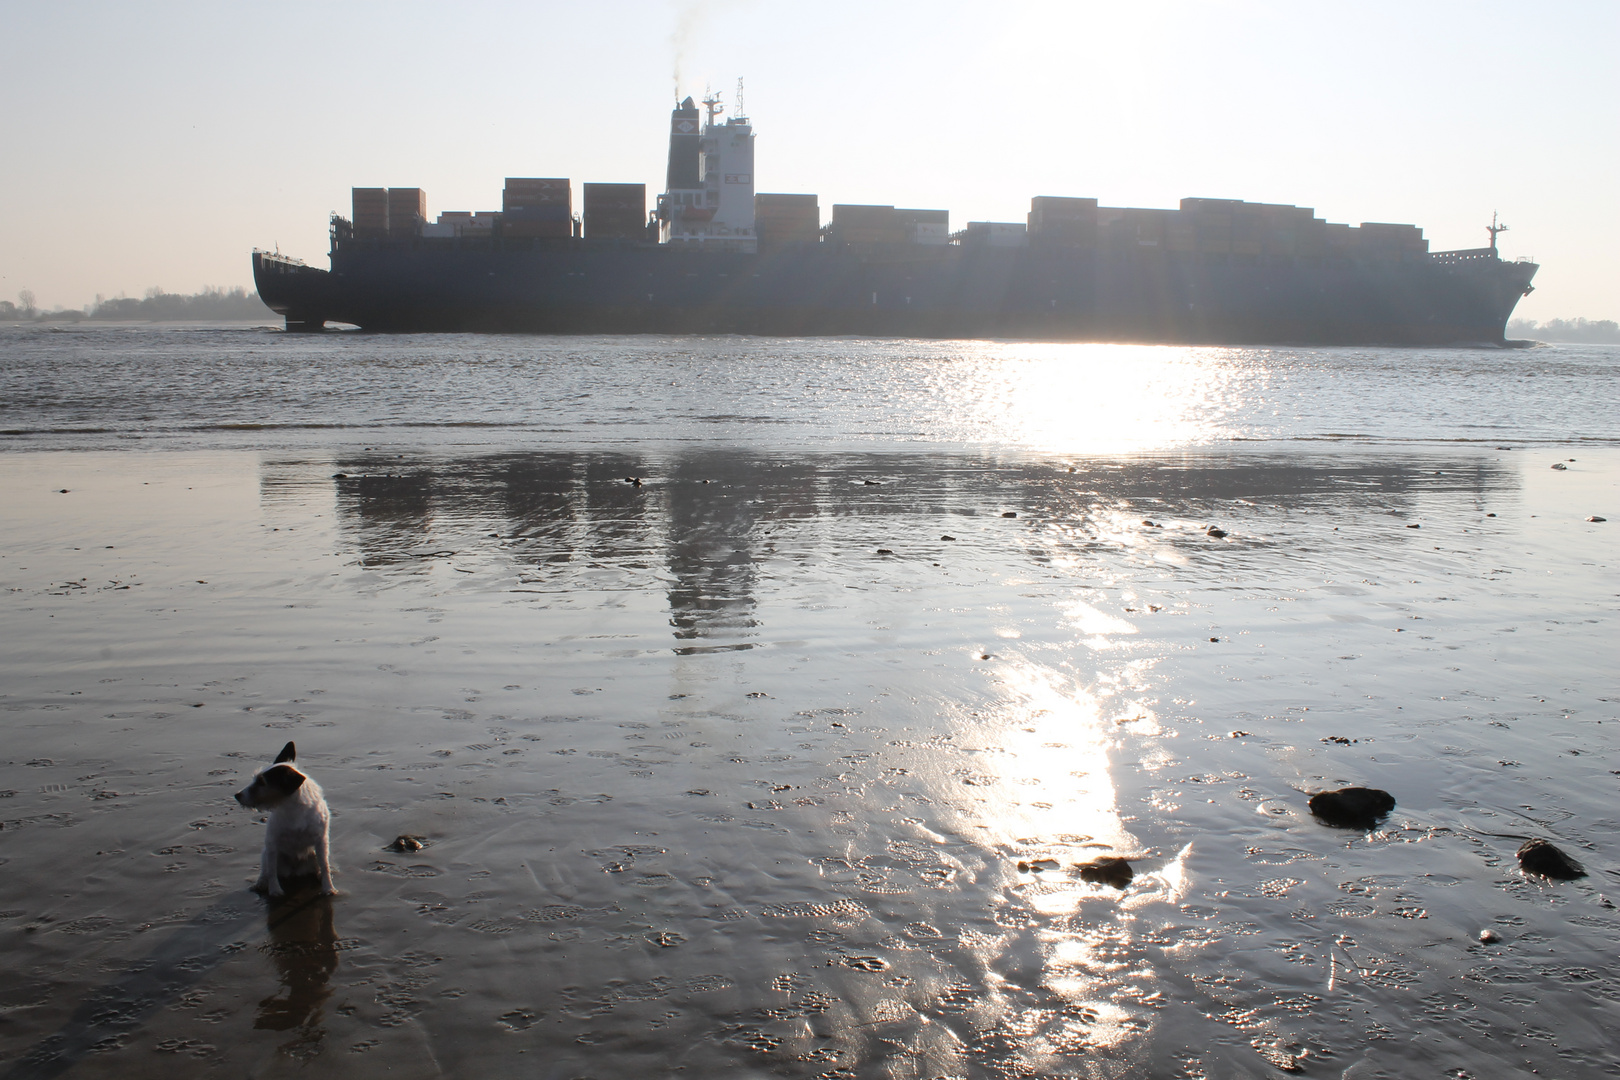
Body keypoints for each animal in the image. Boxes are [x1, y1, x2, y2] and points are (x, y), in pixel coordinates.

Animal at [234, 738, 335, 900]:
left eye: (261, 782)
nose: (237, 795)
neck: (293, 808)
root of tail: (294, 871)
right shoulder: (272, 842)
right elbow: (271, 871)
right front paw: (275, 890)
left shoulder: (321, 840)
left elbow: (325, 865)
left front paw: (328, 888)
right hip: (266, 853)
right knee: (266, 869)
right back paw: (261, 883)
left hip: (313, 854)